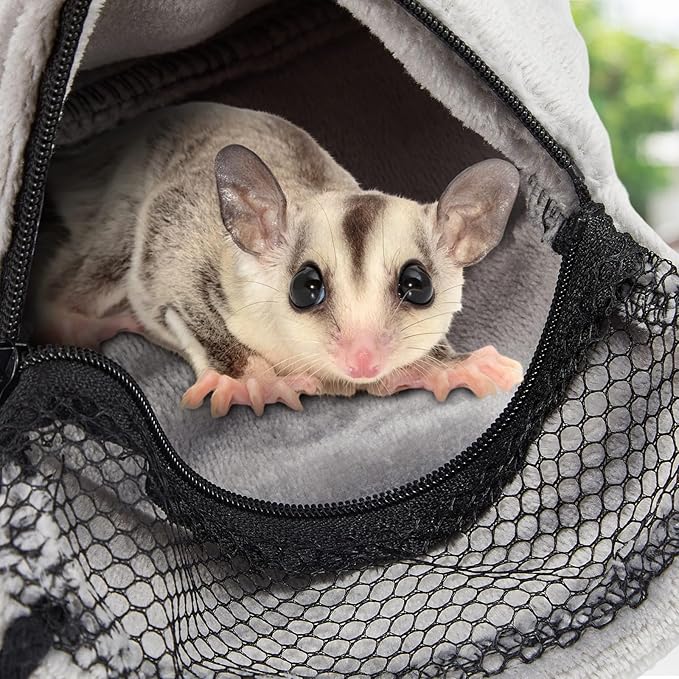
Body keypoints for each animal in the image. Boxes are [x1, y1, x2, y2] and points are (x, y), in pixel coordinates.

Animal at [33, 102, 523, 416]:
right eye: (306, 289)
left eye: (417, 286)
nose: (363, 360)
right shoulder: (182, 239)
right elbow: (166, 279)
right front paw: (249, 378)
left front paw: (448, 367)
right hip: (116, 207)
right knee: (112, 246)